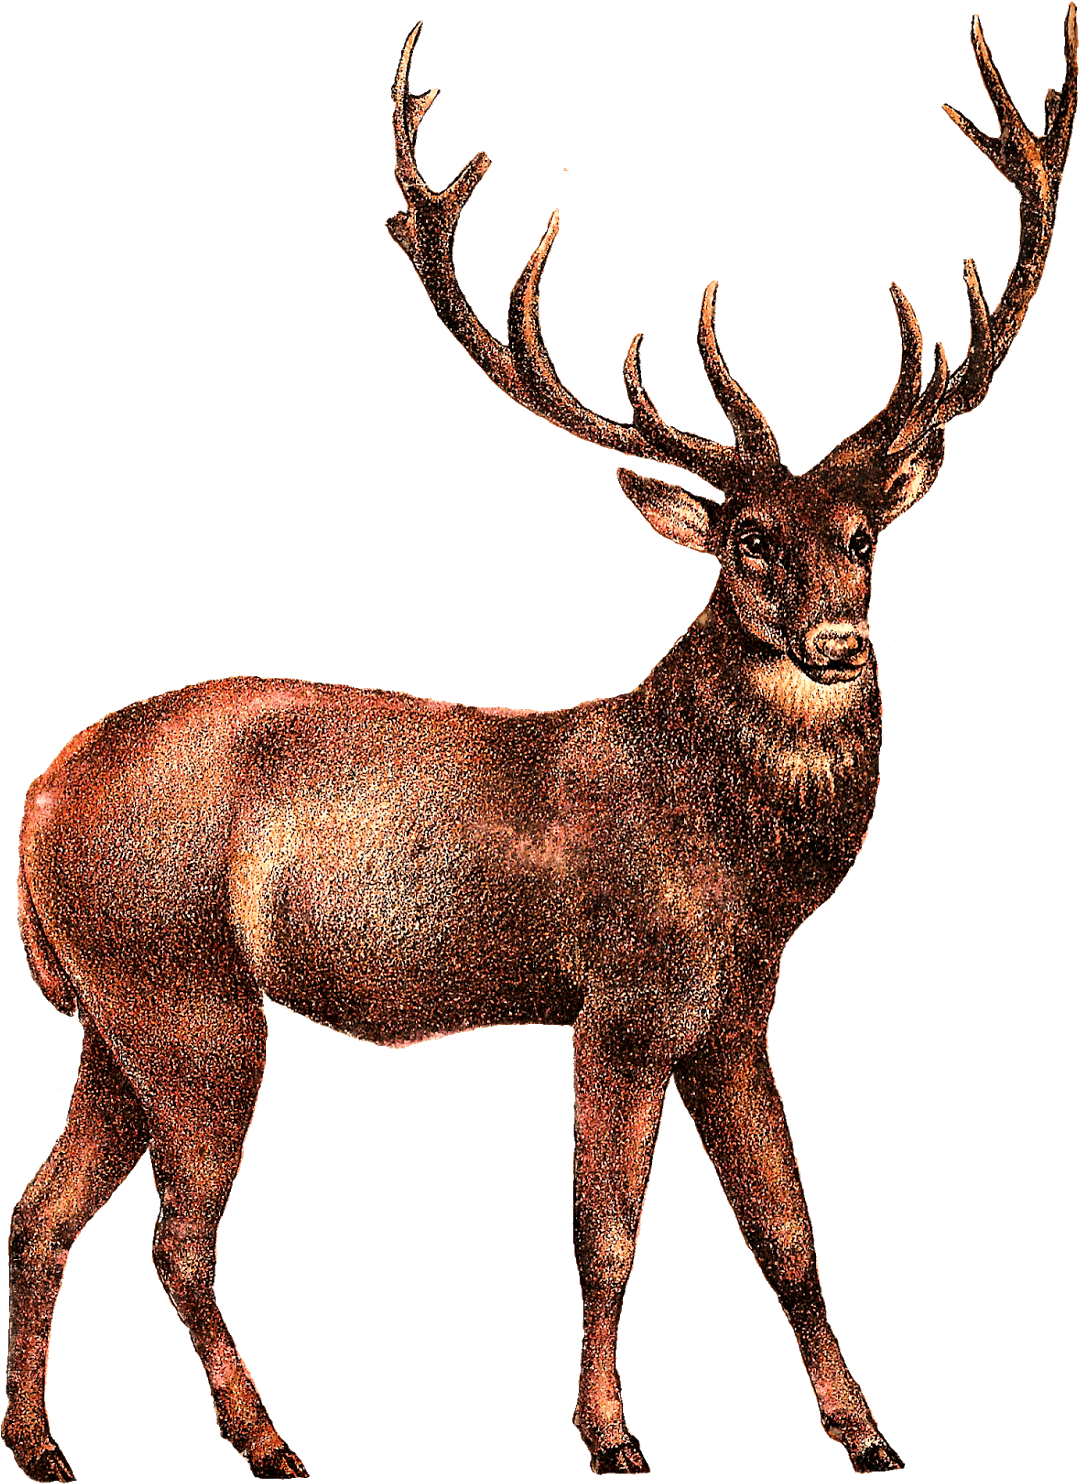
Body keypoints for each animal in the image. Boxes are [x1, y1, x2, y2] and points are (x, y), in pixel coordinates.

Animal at [5, 8, 1075, 1481]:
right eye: (747, 542)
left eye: (863, 536)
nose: (840, 637)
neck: (740, 872)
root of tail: (37, 804)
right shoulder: (622, 999)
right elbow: (608, 1231)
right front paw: (610, 1436)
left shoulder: (737, 1008)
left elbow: (787, 1231)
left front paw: (864, 1433)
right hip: (184, 994)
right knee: (176, 1234)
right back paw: (267, 1440)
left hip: (115, 1019)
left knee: (40, 1210)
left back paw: (38, 1445)